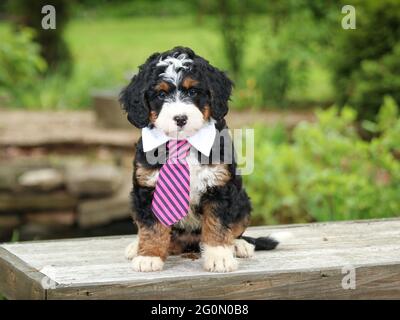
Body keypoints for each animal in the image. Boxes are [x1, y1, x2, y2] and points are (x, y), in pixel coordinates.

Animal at [120, 47, 282, 272]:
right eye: (161, 94)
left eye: (192, 92)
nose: (180, 118)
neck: (183, 142)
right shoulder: (147, 188)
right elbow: (151, 226)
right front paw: (149, 256)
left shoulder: (219, 186)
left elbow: (217, 225)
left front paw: (219, 256)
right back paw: (137, 246)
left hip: (243, 203)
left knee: (236, 229)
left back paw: (239, 245)